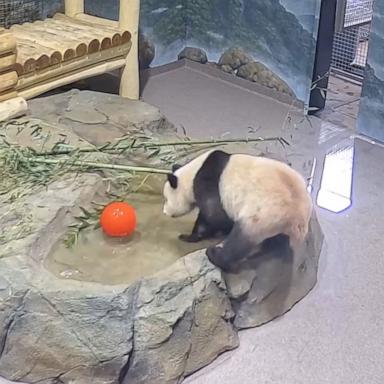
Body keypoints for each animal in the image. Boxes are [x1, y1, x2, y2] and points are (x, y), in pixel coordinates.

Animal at [164, 148, 314, 272]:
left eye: (166, 198)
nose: (165, 211)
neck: (193, 172)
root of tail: (298, 218)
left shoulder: (208, 180)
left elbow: (214, 214)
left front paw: (190, 236)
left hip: (264, 214)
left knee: (240, 241)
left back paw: (215, 255)